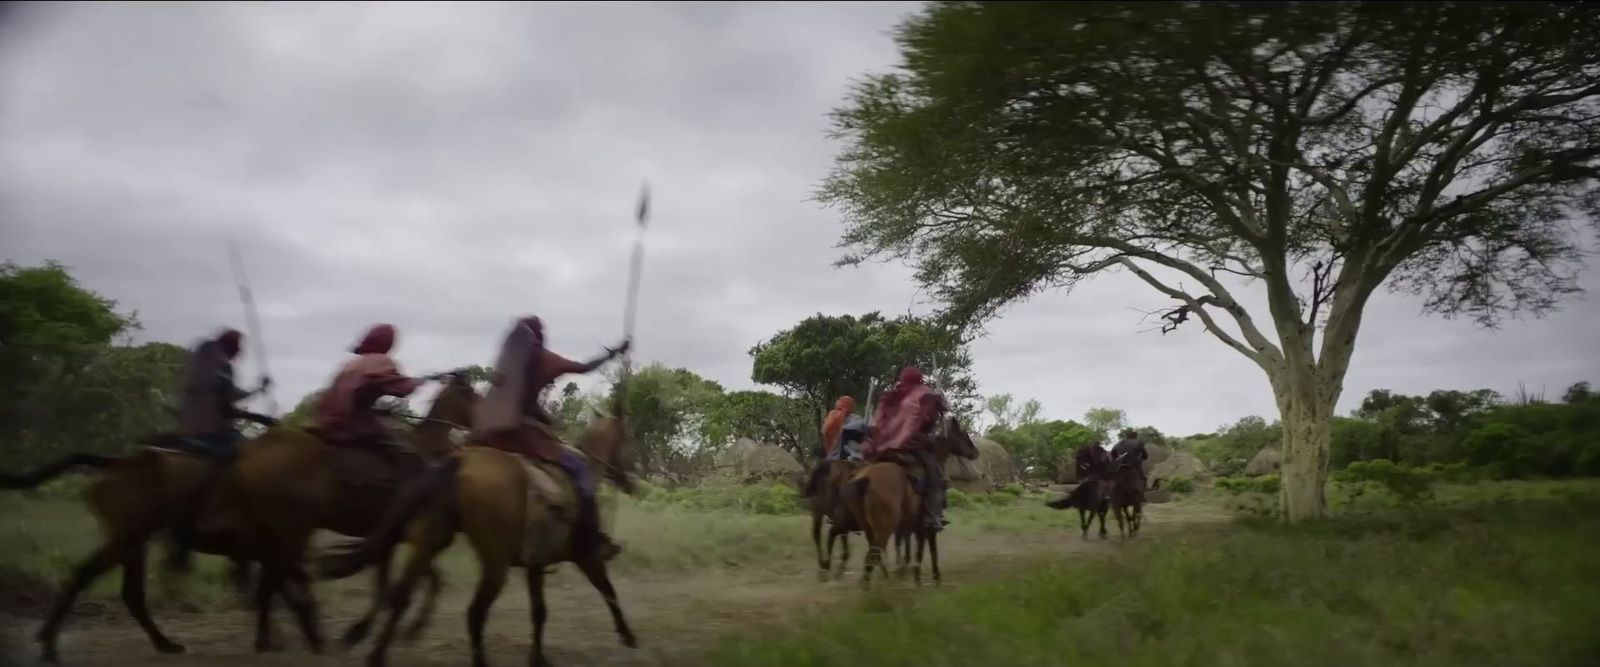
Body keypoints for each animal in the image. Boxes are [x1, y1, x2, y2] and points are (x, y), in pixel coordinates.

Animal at [0, 371, 473, 662]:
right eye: (470, 395)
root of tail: (111, 464)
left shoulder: (384, 539)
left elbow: (408, 582)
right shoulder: (381, 537)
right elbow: (402, 583)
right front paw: (360, 632)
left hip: (136, 540)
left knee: (133, 592)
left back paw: (167, 643)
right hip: (128, 536)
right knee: (87, 575)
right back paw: (50, 645)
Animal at [312, 409, 636, 665]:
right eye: (626, 441)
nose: (630, 480)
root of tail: (459, 461)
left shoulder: (535, 564)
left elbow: (539, 611)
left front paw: (538, 657)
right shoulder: (586, 557)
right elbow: (609, 591)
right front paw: (627, 635)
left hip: (432, 542)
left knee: (402, 594)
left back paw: (375, 653)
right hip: (494, 563)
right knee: (474, 612)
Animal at [838, 415, 972, 588]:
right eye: (963, 433)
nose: (975, 452)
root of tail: (865, 478)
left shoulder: (914, 527)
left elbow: (917, 551)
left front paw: (916, 577)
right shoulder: (928, 527)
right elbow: (930, 550)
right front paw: (934, 577)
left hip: (869, 528)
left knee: (874, 554)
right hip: (884, 528)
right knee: (873, 554)